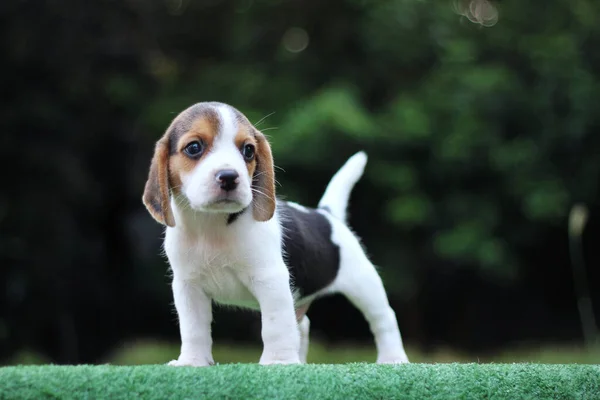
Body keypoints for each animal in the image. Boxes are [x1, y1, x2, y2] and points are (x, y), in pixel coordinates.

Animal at [143, 101, 410, 366]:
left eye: (248, 150)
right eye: (194, 147)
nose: (229, 177)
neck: (213, 225)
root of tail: (326, 214)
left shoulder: (270, 279)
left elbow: (274, 326)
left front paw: (278, 361)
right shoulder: (188, 286)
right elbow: (194, 329)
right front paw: (192, 361)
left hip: (364, 284)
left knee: (384, 319)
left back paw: (393, 358)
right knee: (302, 325)